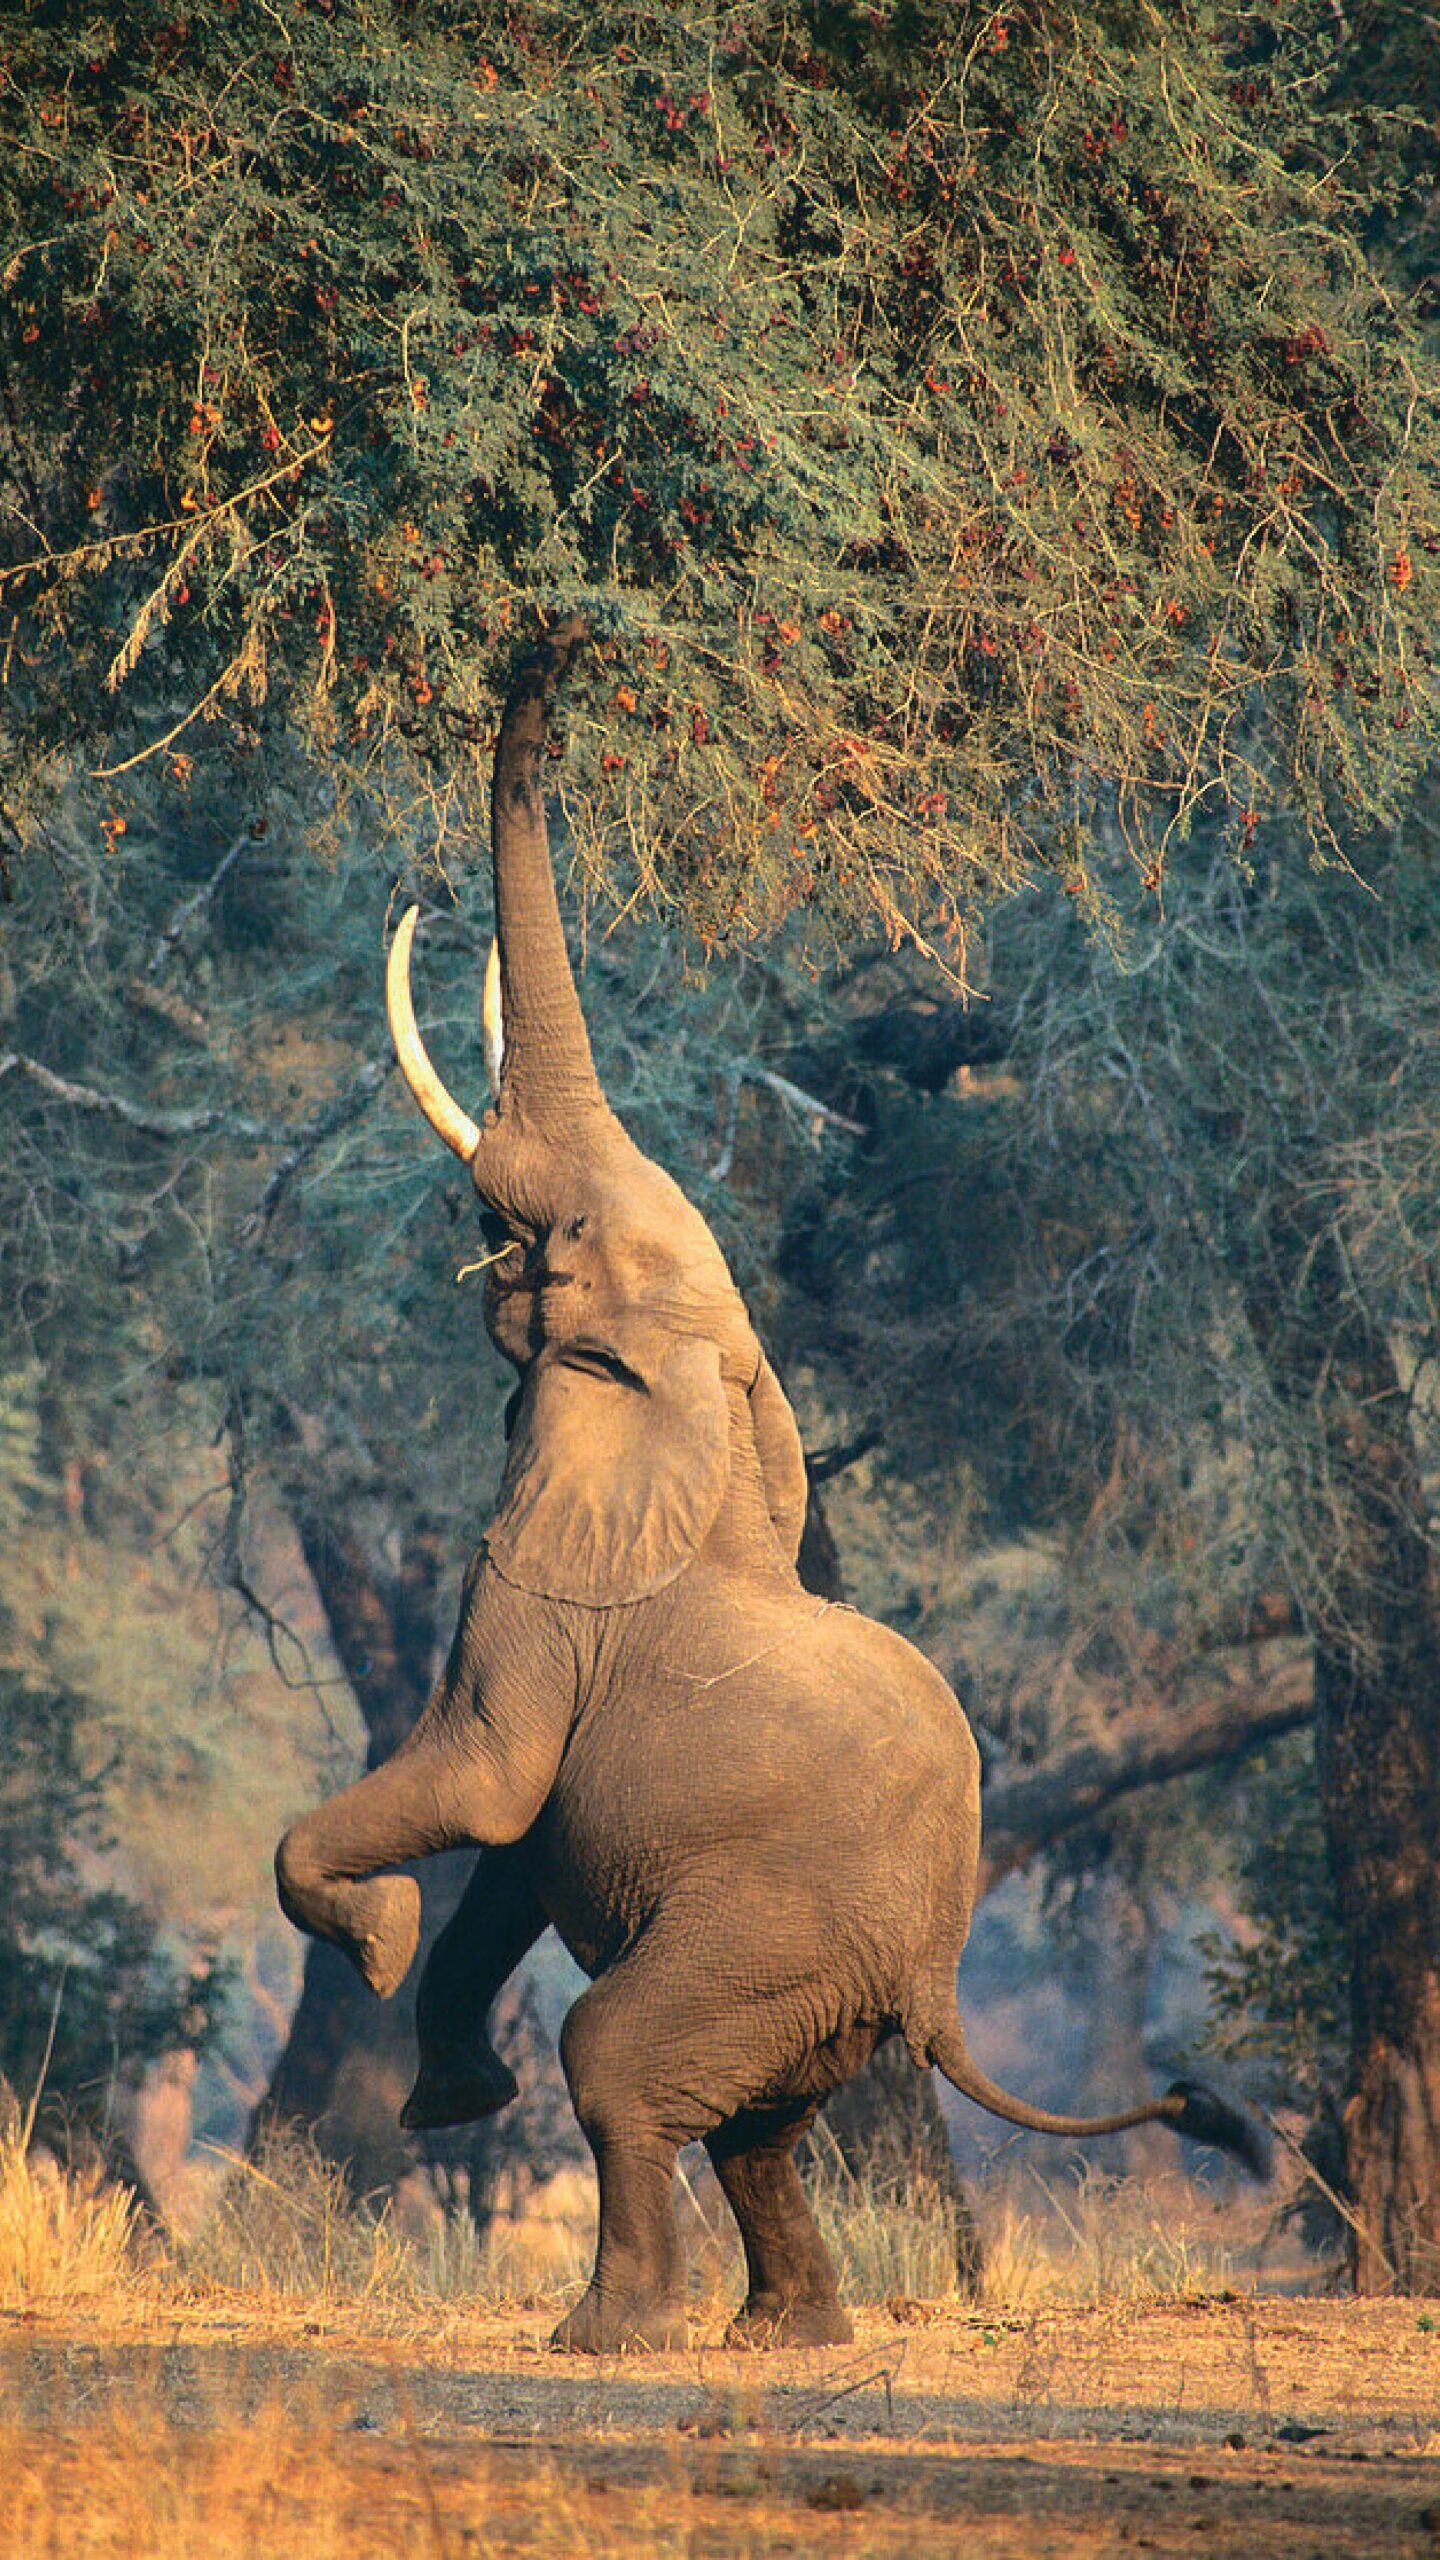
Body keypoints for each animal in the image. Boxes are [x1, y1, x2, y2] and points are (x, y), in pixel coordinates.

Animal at [275, 618, 1264, 2354]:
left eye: (561, 1243)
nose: (554, 643)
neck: (714, 1414)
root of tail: (938, 1983)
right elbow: (512, 1860)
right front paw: (447, 2093)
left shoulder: (539, 1583)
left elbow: (486, 1788)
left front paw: (379, 1949)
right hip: (817, 1992)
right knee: (757, 2123)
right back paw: (782, 2336)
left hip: (767, 1937)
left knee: (620, 2061)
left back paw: (611, 2338)